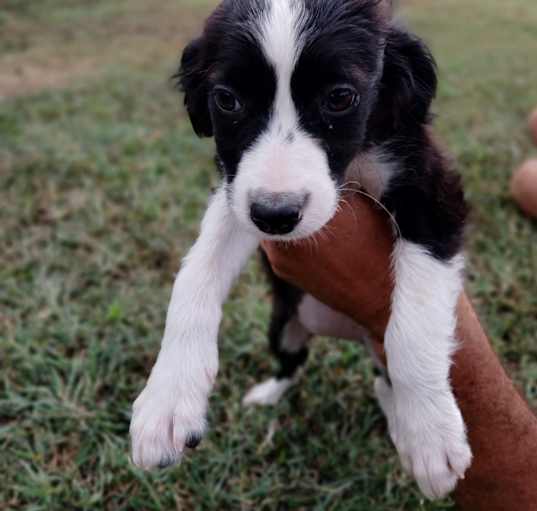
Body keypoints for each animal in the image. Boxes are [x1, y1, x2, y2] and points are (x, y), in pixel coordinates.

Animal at [132, 0, 472, 502]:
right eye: (227, 100)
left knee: (383, 371)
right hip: (283, 326)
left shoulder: (431, 193)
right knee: (294, 361)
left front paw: (431, 437)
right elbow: (194, 277)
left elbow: (411, 329)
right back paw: (268, 394)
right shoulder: (239, 195)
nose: (276, 217)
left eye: (340, 98)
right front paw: (167, 402)